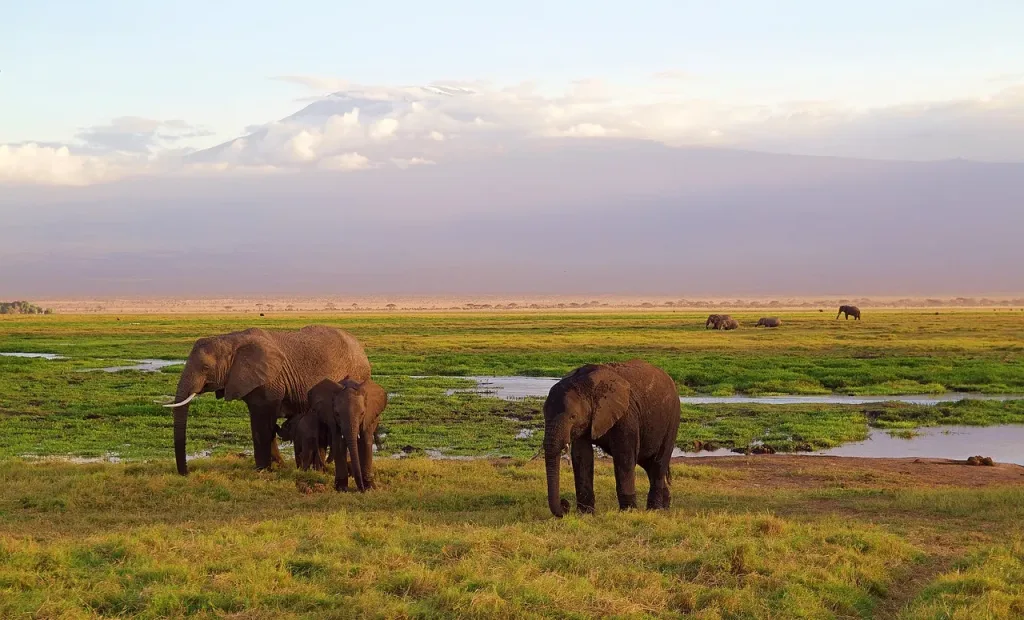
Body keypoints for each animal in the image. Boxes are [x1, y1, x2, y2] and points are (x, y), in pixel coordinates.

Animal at [159, 323, 368, 473]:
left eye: (205, 368)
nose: (185, 473)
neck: (230, 340)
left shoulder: (269, 381)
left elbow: (262, 423)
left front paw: (261, 470)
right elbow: (263, 423)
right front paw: (277, 466)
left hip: (357, 375)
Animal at [544, 358, 679, 516]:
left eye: (573, 417)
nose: (565, 504)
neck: (586, 384)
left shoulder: (626, 414)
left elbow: (624, 456)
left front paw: (628, 512)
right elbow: (582, 456)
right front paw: (586, 514)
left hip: (672, 418)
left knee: (658, 462)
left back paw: (655, 510)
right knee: (648, 463)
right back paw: (665, 508)